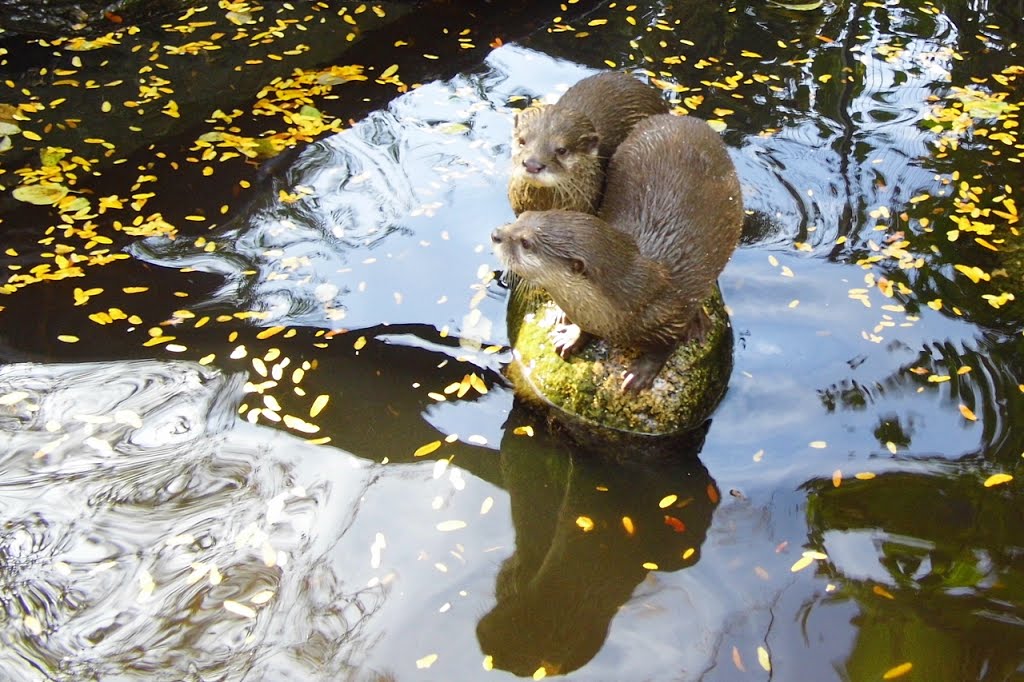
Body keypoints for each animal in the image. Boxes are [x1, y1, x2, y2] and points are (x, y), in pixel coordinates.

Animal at [489, 114, 741, 391]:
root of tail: (683, 119)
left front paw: (641, 372)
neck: (633, 301)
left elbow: (664, 347)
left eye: (526, 243)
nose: (496, 234)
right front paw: (573, 336)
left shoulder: (671, 316)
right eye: (523, 217)